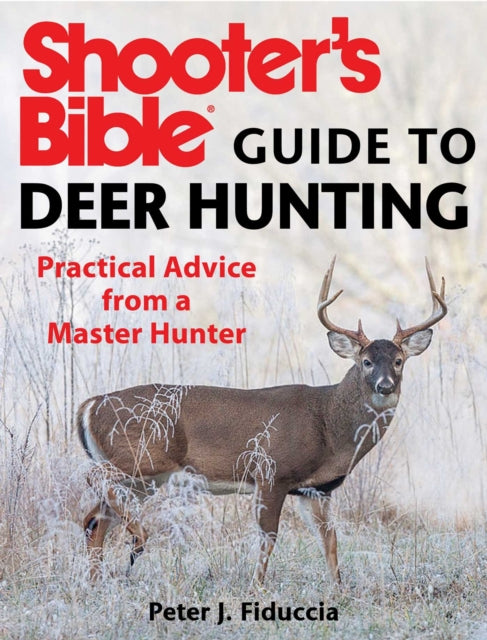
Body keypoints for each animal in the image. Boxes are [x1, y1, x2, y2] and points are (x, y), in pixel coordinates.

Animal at [78, 257, 447, 584]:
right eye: (366, 361)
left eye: (399, 361)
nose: (385, 386)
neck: (328, 425)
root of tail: (91, 404)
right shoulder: (271, 472)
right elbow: (269, 537)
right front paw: (257, 586)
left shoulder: (315, 489)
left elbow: (330, 541)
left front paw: (339, 589)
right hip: (143, 457)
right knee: (94, 482)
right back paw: (138, 539)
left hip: (146, 479)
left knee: (95, 520)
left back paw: (98, 580)